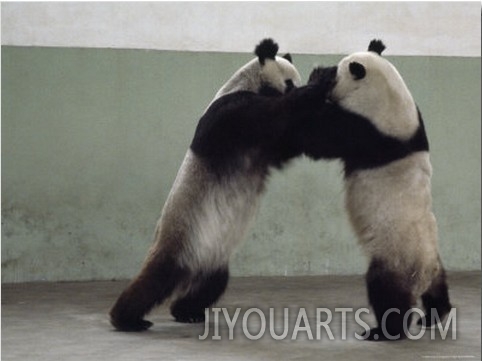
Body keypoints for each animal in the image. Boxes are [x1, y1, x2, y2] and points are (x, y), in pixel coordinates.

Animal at [108, 38, 326, 330]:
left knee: (212, 284)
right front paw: (317, 85)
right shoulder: (229, 114)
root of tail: (191, 270)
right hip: (181, 238)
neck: (248, 82)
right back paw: (127, 318)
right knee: (155, 280)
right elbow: (270, 115)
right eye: (289, 82)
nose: (299, 85)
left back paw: (186, 310)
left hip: (213, 253)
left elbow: (287, 143)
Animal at [304, 40, 454, 340]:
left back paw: (385, 331)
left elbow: (320, 135)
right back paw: (436, 314)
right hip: (431, 256)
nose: (328, 71)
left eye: (336, 73)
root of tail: (423, 274)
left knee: (386, 291)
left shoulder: (368, 129)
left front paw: (317, 78)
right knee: (438, 285)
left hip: (395, 256)